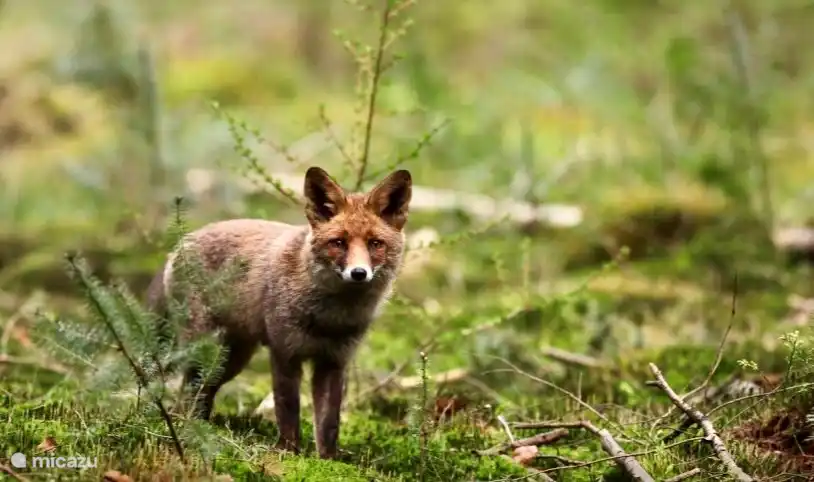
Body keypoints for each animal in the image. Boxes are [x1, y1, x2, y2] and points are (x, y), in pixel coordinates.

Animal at [145, 166, 412, 459]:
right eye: (338, 243)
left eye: (375, 243)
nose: (359, 273)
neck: (328, 319)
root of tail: (179, 244)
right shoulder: (285, 353)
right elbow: (287, 408)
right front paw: (287, 451)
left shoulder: (333, 361)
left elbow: (329, 422)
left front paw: (328, 460)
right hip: (206, 351)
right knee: (188, 391)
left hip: (231, 360)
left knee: (201, 392)